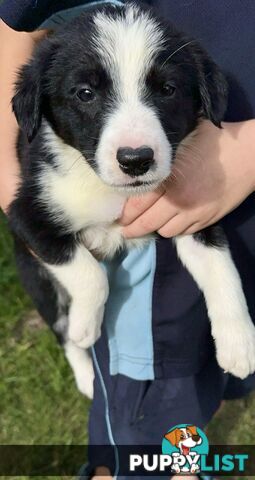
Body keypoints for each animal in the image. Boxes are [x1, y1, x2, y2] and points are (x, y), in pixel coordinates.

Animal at [7, 2, 255, 398]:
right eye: (85, 93)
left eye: (168, 89)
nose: (136, 159)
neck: (113, 192)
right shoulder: (28, 217)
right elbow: (91, 275)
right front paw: (85, 325)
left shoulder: (195, 215)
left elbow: (222, 269)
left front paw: (239, 342)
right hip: (33, 275)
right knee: (59, 328)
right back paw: (86, 374)